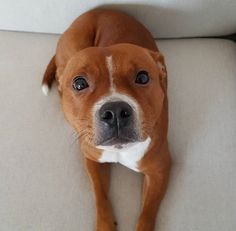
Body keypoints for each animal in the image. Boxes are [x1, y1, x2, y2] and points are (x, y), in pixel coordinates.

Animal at [42, 8, 171, 230]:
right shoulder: (92, 160)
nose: (115, 111)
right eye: (79, 83)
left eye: (143, 77)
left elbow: (147, 212)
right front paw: (105, 223)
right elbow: (99, 195)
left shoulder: (159, 170)